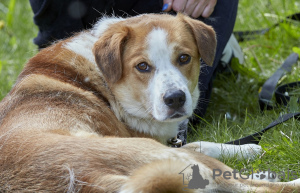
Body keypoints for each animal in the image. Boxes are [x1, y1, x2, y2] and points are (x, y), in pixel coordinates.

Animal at [0, 13, 298, 191]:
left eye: (184, 58)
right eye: (142, 66)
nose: (175, 99)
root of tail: (92, 182)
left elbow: (198, 142)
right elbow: (199, 145)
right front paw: (248, 150)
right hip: (152, 153)